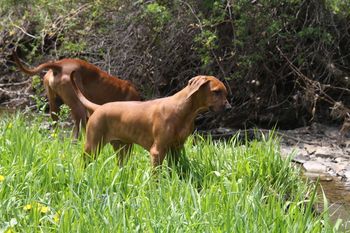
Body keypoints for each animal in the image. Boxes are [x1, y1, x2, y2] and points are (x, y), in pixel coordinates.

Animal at [69, 71, 231, 167]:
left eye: (225, 93)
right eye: (216, 92)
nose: (229, 108)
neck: (183, 111)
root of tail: (98, 108)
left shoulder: (176, 148)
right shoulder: (157, 151)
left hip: (124, 148)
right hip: (92, 146)